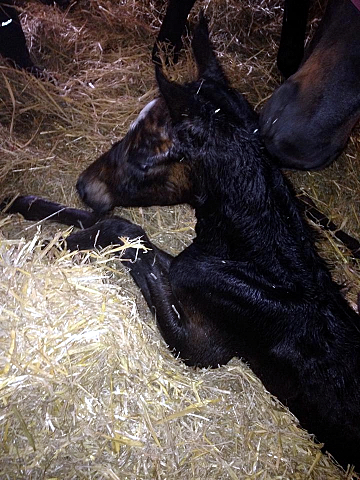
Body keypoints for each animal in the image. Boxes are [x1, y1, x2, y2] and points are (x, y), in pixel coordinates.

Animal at [4, 19, 360, 472]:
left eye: (144, 154)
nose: (84, 186)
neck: (266, 262)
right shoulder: (189, 269)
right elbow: (131, 233)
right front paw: (25, 205)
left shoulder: (202, 347)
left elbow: (130, 238)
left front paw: (57, 243)